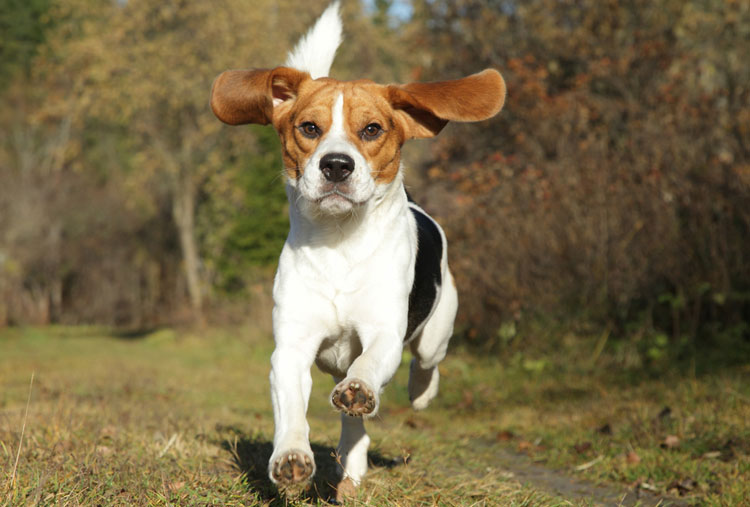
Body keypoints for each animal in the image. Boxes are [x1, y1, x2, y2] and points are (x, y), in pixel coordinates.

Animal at [210, 1, 506, 496]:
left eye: (371, 129)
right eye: (309, 127)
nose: (336, 165)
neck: (339, 244)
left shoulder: (383, 332)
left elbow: (370, 363)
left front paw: (363, 387)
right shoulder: (290, 348)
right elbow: (293, 410)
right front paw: (291, 456)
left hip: (437, 329)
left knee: (425, 362)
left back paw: (417, 392)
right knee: (353, 428)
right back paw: (350, 464)